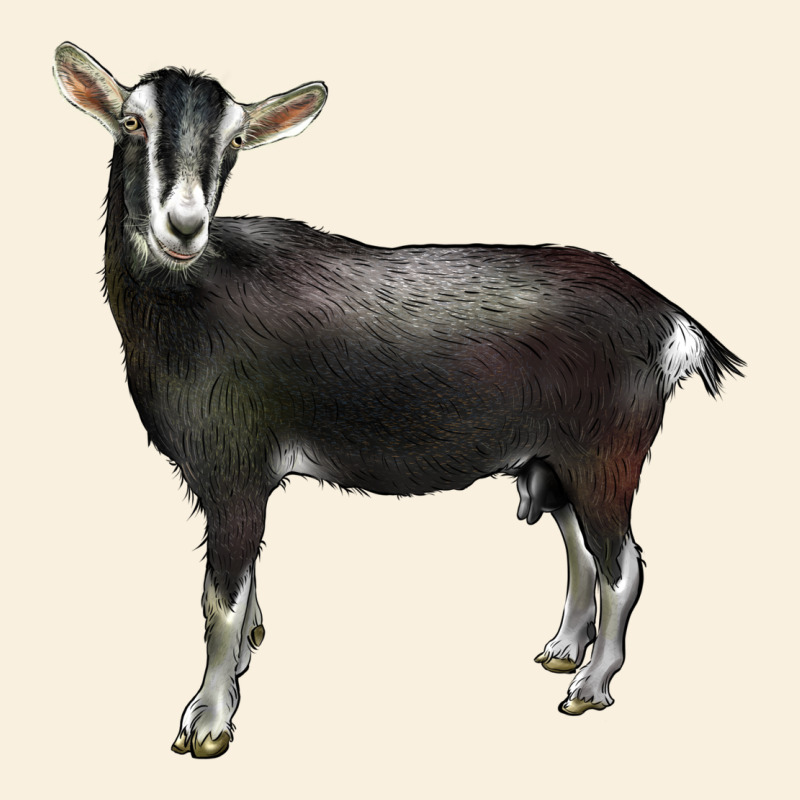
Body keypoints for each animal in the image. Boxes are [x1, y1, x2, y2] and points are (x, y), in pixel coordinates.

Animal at [54, 42, 743, 759]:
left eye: (237, 139)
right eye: (132, 122)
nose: (184, 226)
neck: (192, 300)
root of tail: (669, 319)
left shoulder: (236, 469)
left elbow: (221, 599)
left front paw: (209, 720)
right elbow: (246, 587)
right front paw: (245, 658)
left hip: (607, 451)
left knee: (623, 564)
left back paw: (590, 685)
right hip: (553, 459)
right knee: (580, 547)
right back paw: (561, 651)